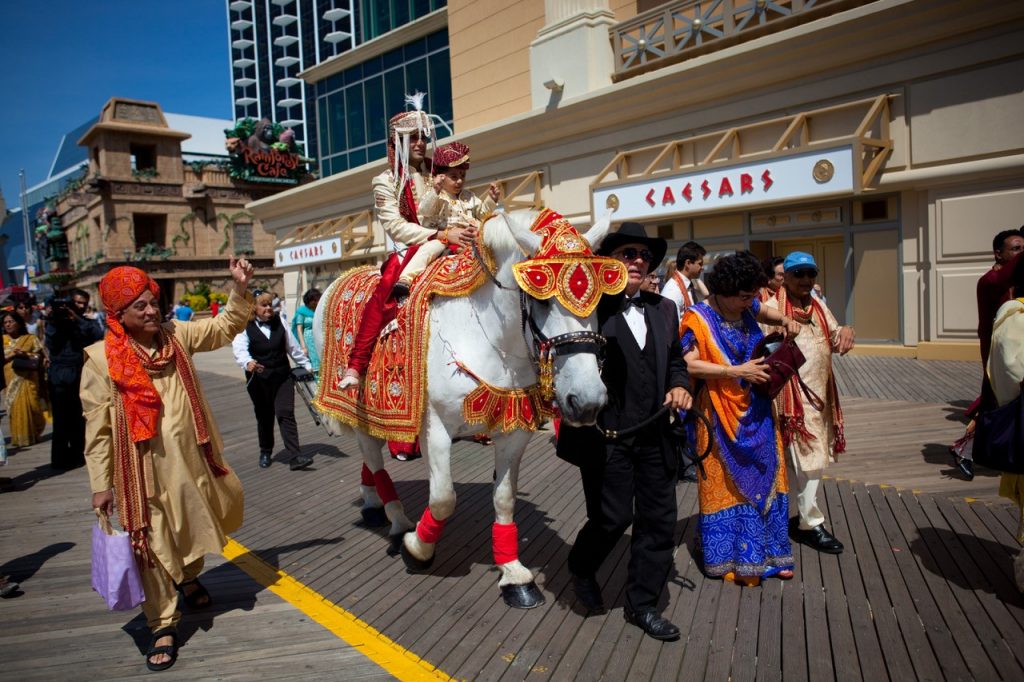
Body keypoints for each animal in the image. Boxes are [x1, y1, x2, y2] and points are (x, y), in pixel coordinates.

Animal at [315, 208, 610, 606]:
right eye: (542, 299)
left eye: (601, 299)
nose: (587, 400)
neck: (487, 338)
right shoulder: (435, 429)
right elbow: (443, 498)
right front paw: (417, 549)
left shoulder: (515, 431)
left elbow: (504, 498)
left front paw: (514, 574)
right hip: (358, 406)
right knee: (374, 457)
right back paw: (397, 520)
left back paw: (372, 501)